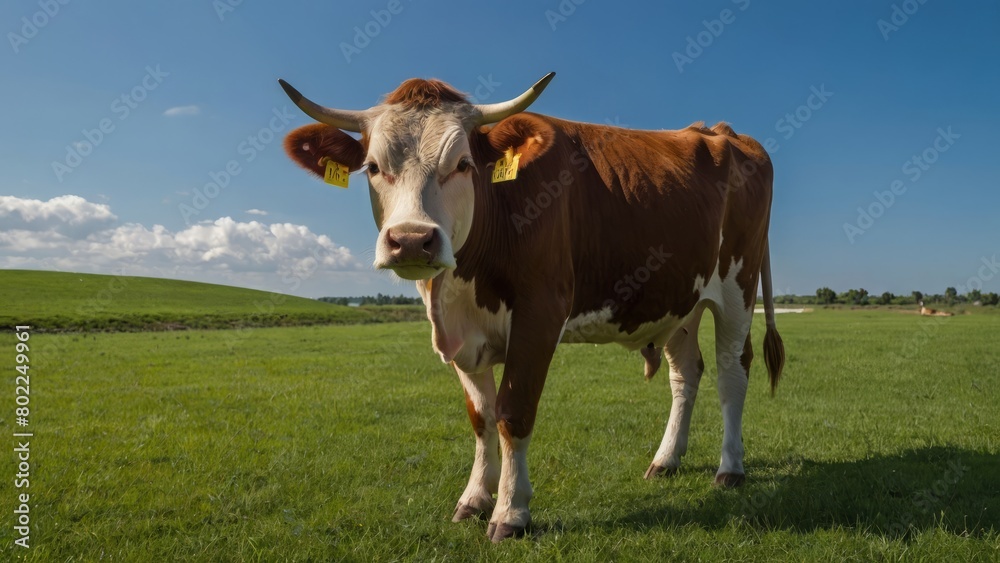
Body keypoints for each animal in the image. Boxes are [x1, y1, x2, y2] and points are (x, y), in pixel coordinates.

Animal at [278, 71, 784, 540]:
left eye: (463, 164)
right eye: (372, 166)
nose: (412, 240)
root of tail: (720, 131)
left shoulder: (540, 313)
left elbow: (513, 412)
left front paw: (511, 512)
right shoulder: (460, 335)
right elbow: (481, 416)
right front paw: (474, 498)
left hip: (738, 286)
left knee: (731, 371)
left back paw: (730, 468)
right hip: (680, 300)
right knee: (687, 373)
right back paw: (666, 459)